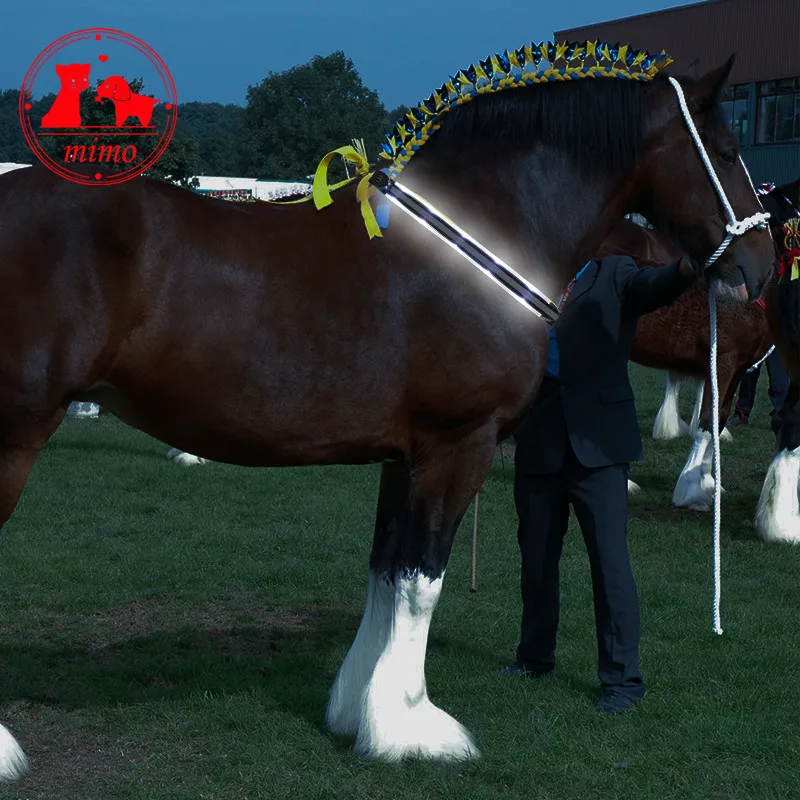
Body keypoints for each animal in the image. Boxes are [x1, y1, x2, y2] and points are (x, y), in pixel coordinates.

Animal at [596, 218, 773, 510]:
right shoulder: (722, 364)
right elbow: (706, 424)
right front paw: (691, 491)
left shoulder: (737, 370)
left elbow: (718, 421)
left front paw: (708, 483)